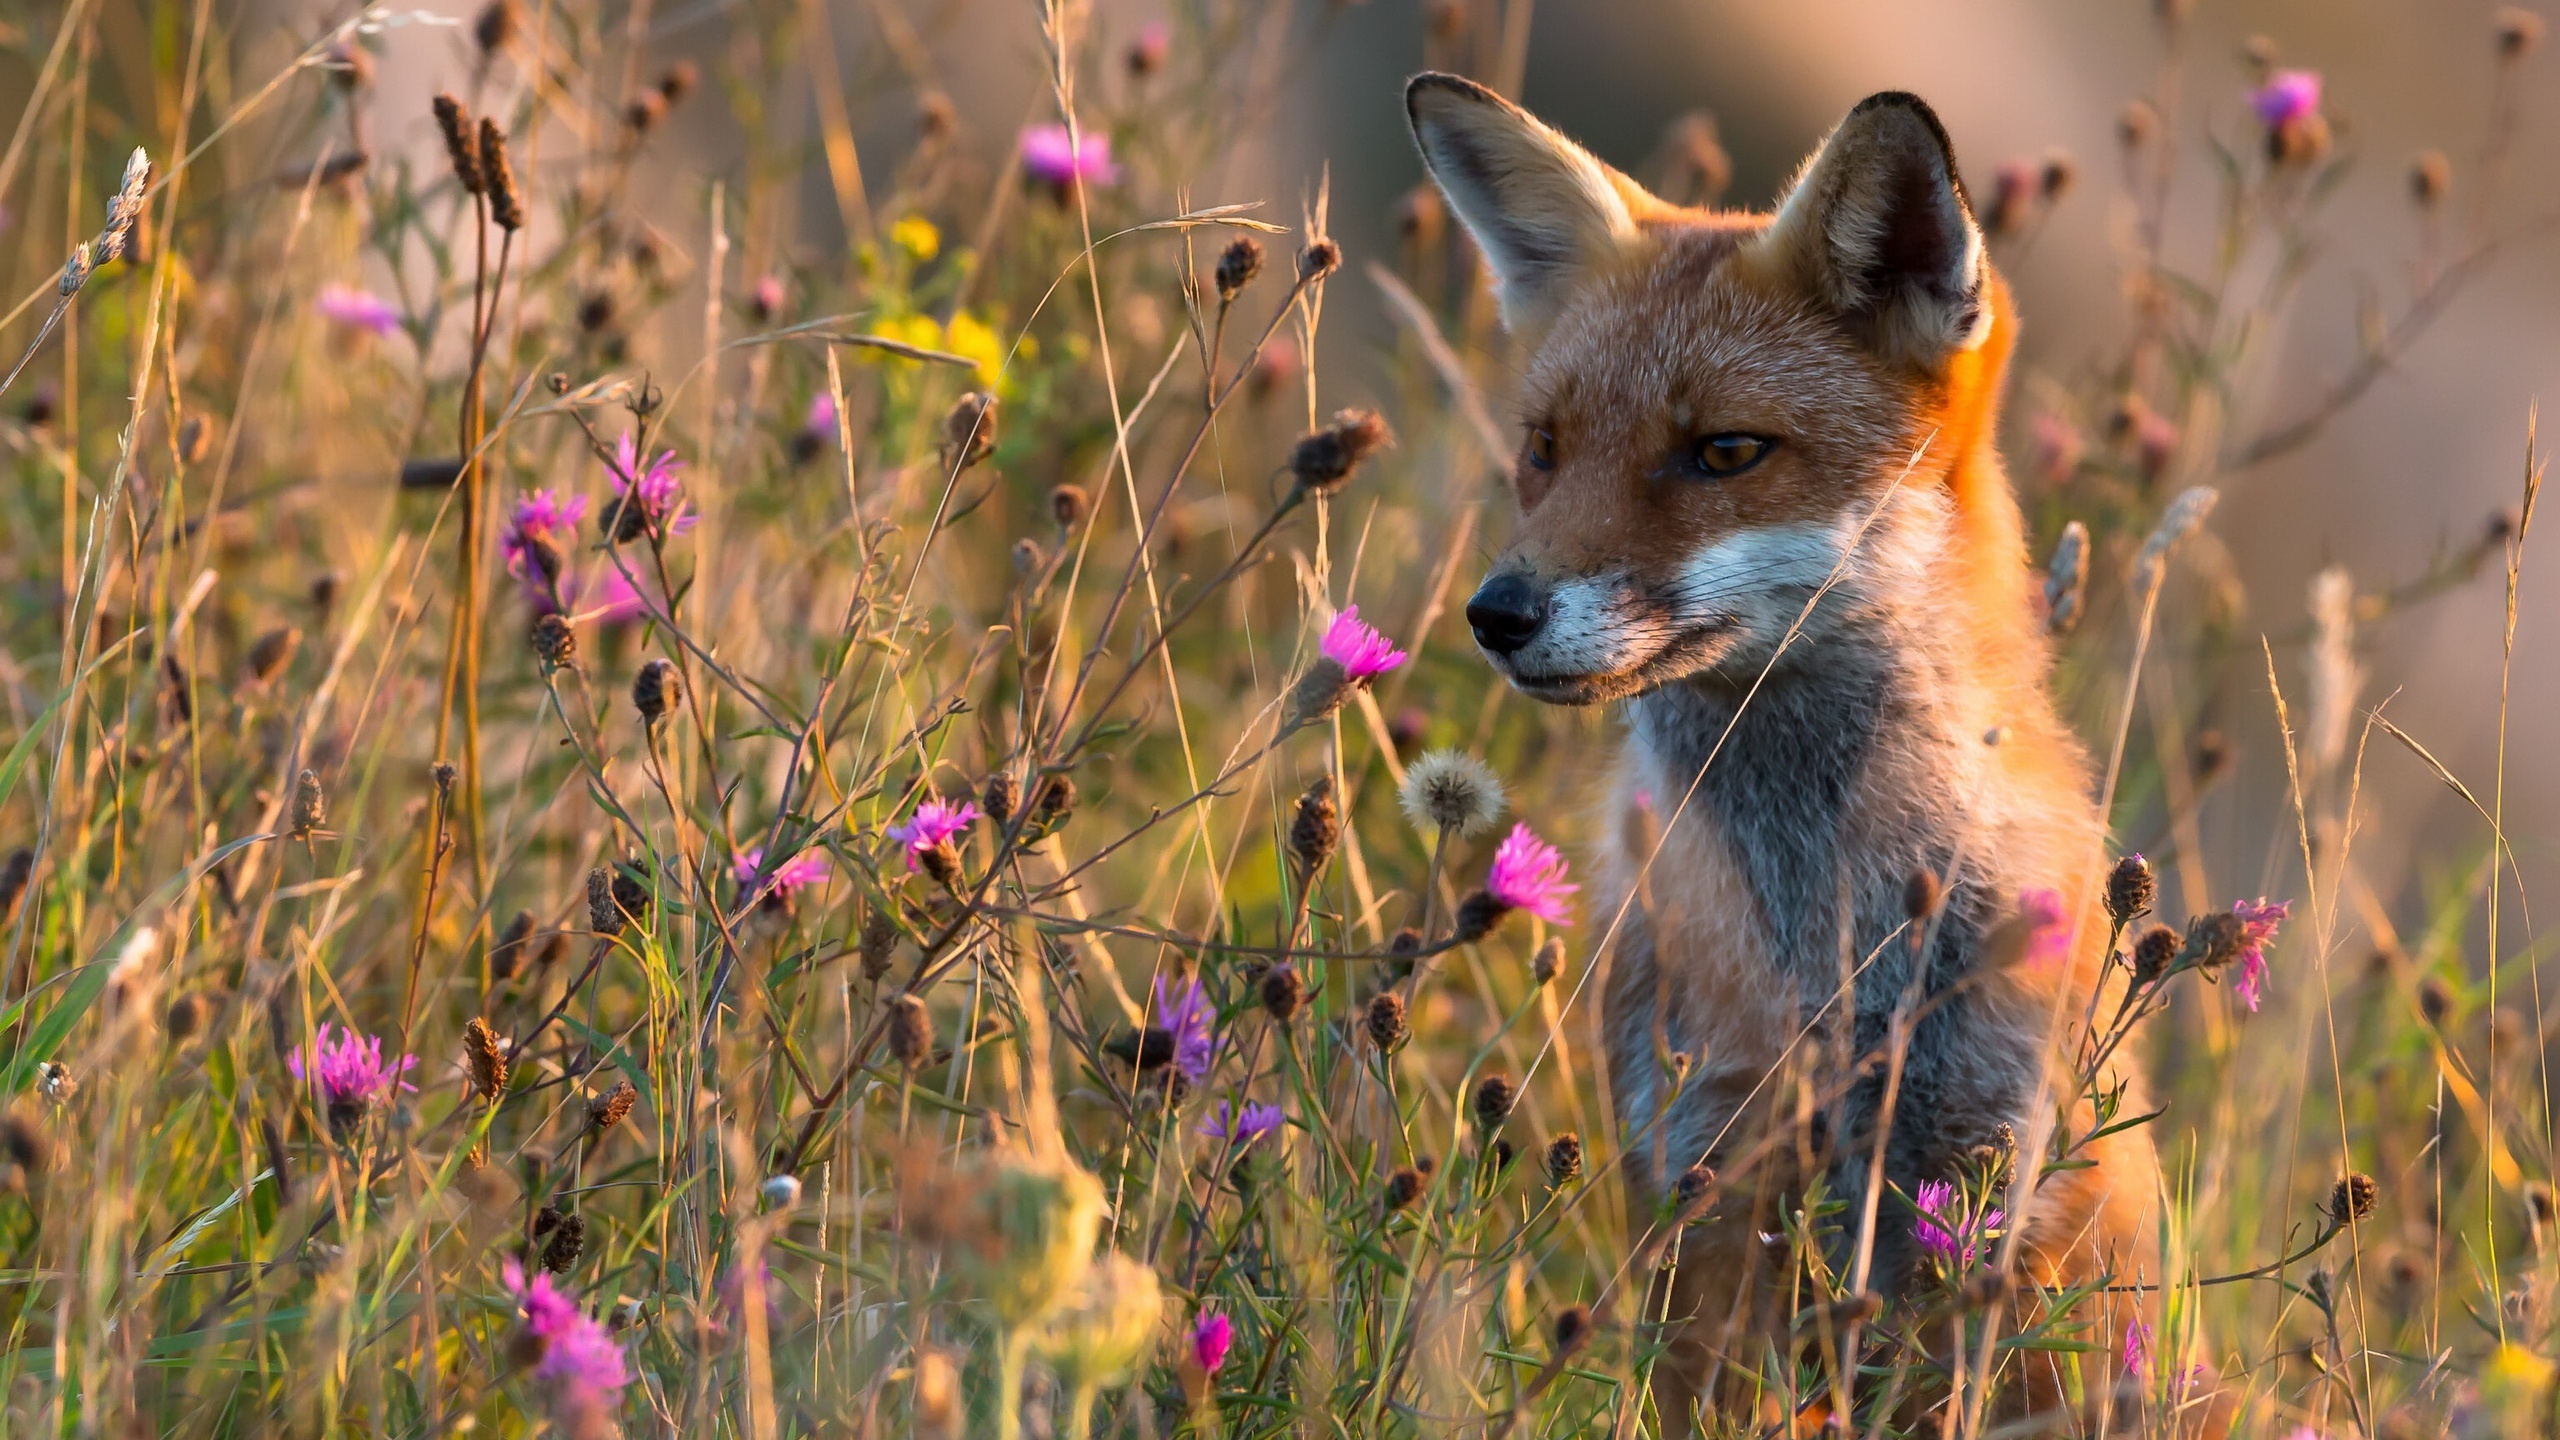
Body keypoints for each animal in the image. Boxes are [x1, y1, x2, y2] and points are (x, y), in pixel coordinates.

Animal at [1405, 75, 2161, 1431]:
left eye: (1724, 452)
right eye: (1543, 447)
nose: (1497, 615)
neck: (1831, 951)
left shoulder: (1989, 1198)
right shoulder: (1700, 1175)